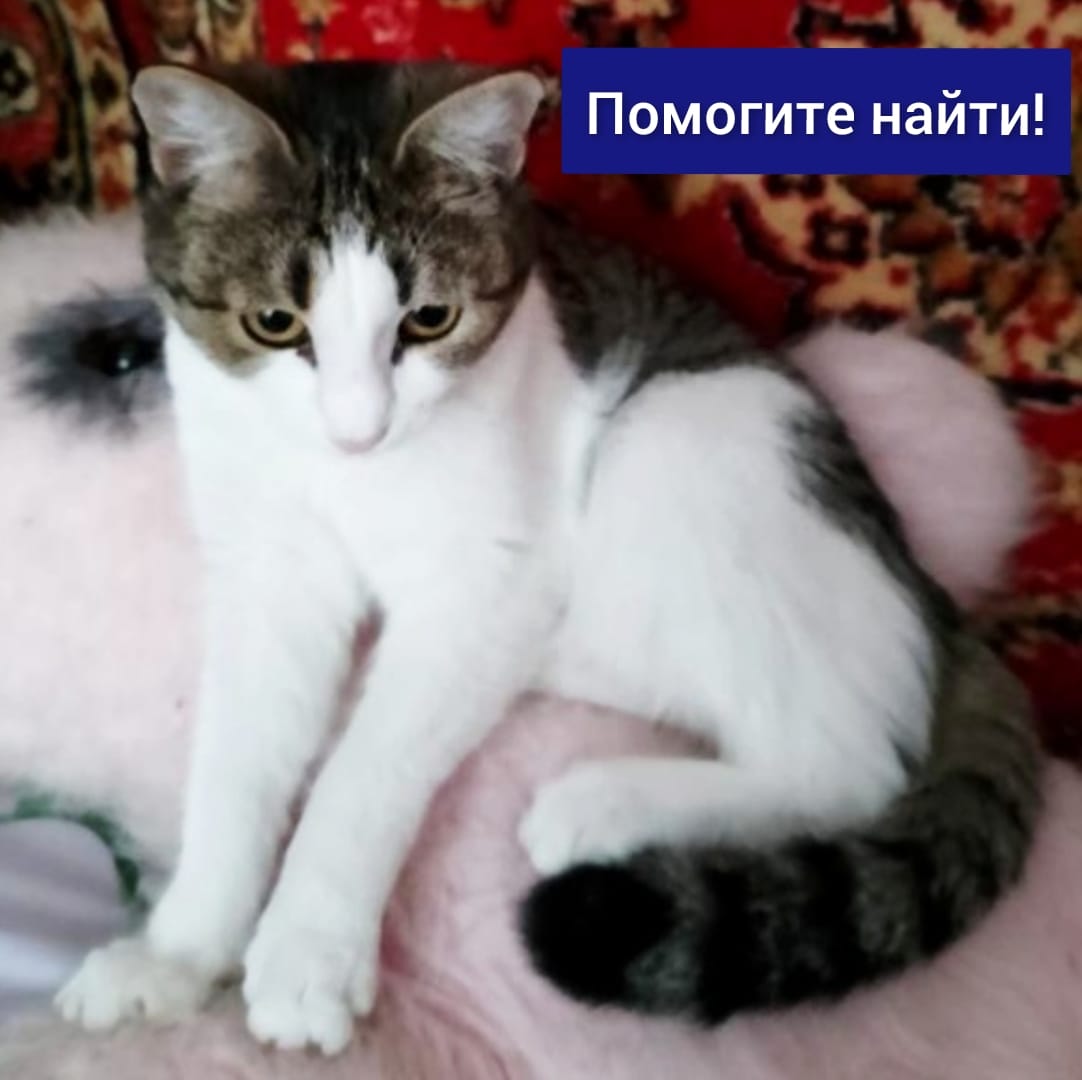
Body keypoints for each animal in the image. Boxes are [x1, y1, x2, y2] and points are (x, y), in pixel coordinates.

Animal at [54, 60, 1039, 1055]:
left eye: (431, 319)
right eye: (272, 322)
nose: (359, 430)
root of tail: (923, 582)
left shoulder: (483, 577)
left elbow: (362, 776)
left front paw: (308, 950)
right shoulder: (268, 568)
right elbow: (236, 769)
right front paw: (178, 953)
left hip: (685, 427)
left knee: (848, 764)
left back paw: (607, 802)